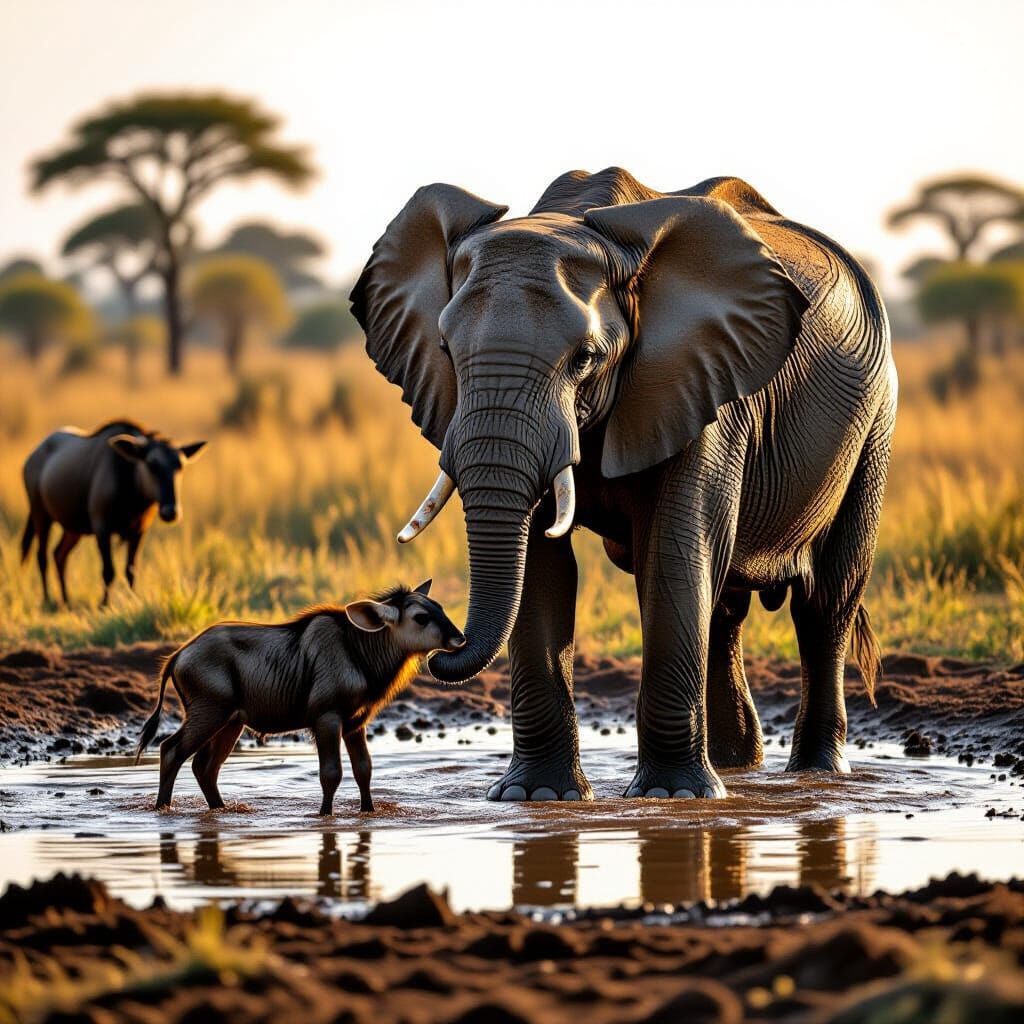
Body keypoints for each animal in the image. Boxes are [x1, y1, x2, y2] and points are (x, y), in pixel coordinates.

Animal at [351, 166, 896, 802]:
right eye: (444, 349)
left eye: (585, 358)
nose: (441, 646)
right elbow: (543, 567)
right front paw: (537, 798)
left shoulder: (702, 384)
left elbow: (674, 554)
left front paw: (672, 798)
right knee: (724, 609)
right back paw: (736, 766)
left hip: (874, 423)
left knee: (825, 604)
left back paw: (815, 776)